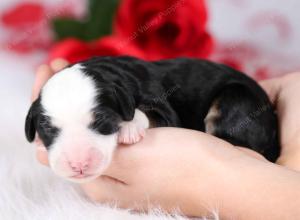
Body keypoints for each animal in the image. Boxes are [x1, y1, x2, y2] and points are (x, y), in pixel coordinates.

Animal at [24, 56, 280, 182]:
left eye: (102, 121)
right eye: (48, 130)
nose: (78, 165)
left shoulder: (164, 108)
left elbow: (147, 112)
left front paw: (129, 127)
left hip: (236, 99)